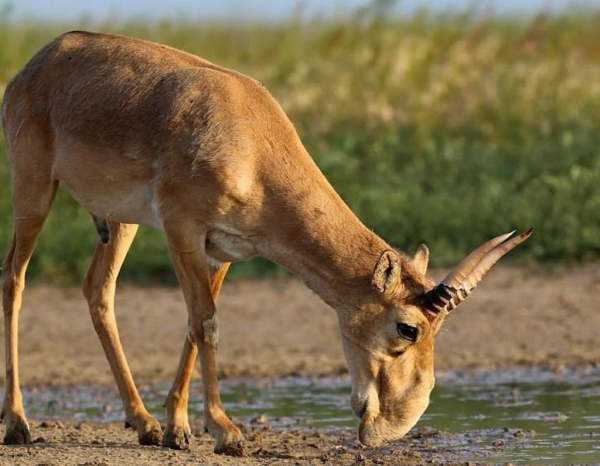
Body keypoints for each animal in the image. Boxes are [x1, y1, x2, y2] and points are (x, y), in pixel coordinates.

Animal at [2, 31, 532, 456]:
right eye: (408, 328)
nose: (393, 426)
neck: (252, 139)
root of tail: (37, 62)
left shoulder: (223, 250)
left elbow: (193, 326)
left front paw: (177, 428)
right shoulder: (182, 229)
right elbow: (207, 324)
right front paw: (226, 432)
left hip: (119, 221)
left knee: (98, 290)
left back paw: (143, 423)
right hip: (34, 190)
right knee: (14, 278)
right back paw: (18, 424)